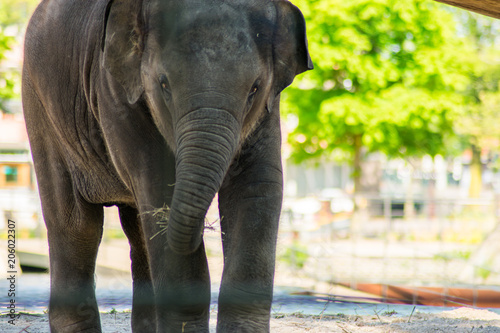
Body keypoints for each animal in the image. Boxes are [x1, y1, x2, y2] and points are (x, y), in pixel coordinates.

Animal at [22, 0, 312, 330]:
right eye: (164, 84)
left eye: (254, 88)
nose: (204, 229)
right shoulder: (115, 93)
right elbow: (159, 187)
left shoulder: (268, 110)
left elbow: (257, 189)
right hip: (41, 111)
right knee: (76, 225)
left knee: (136, 232)